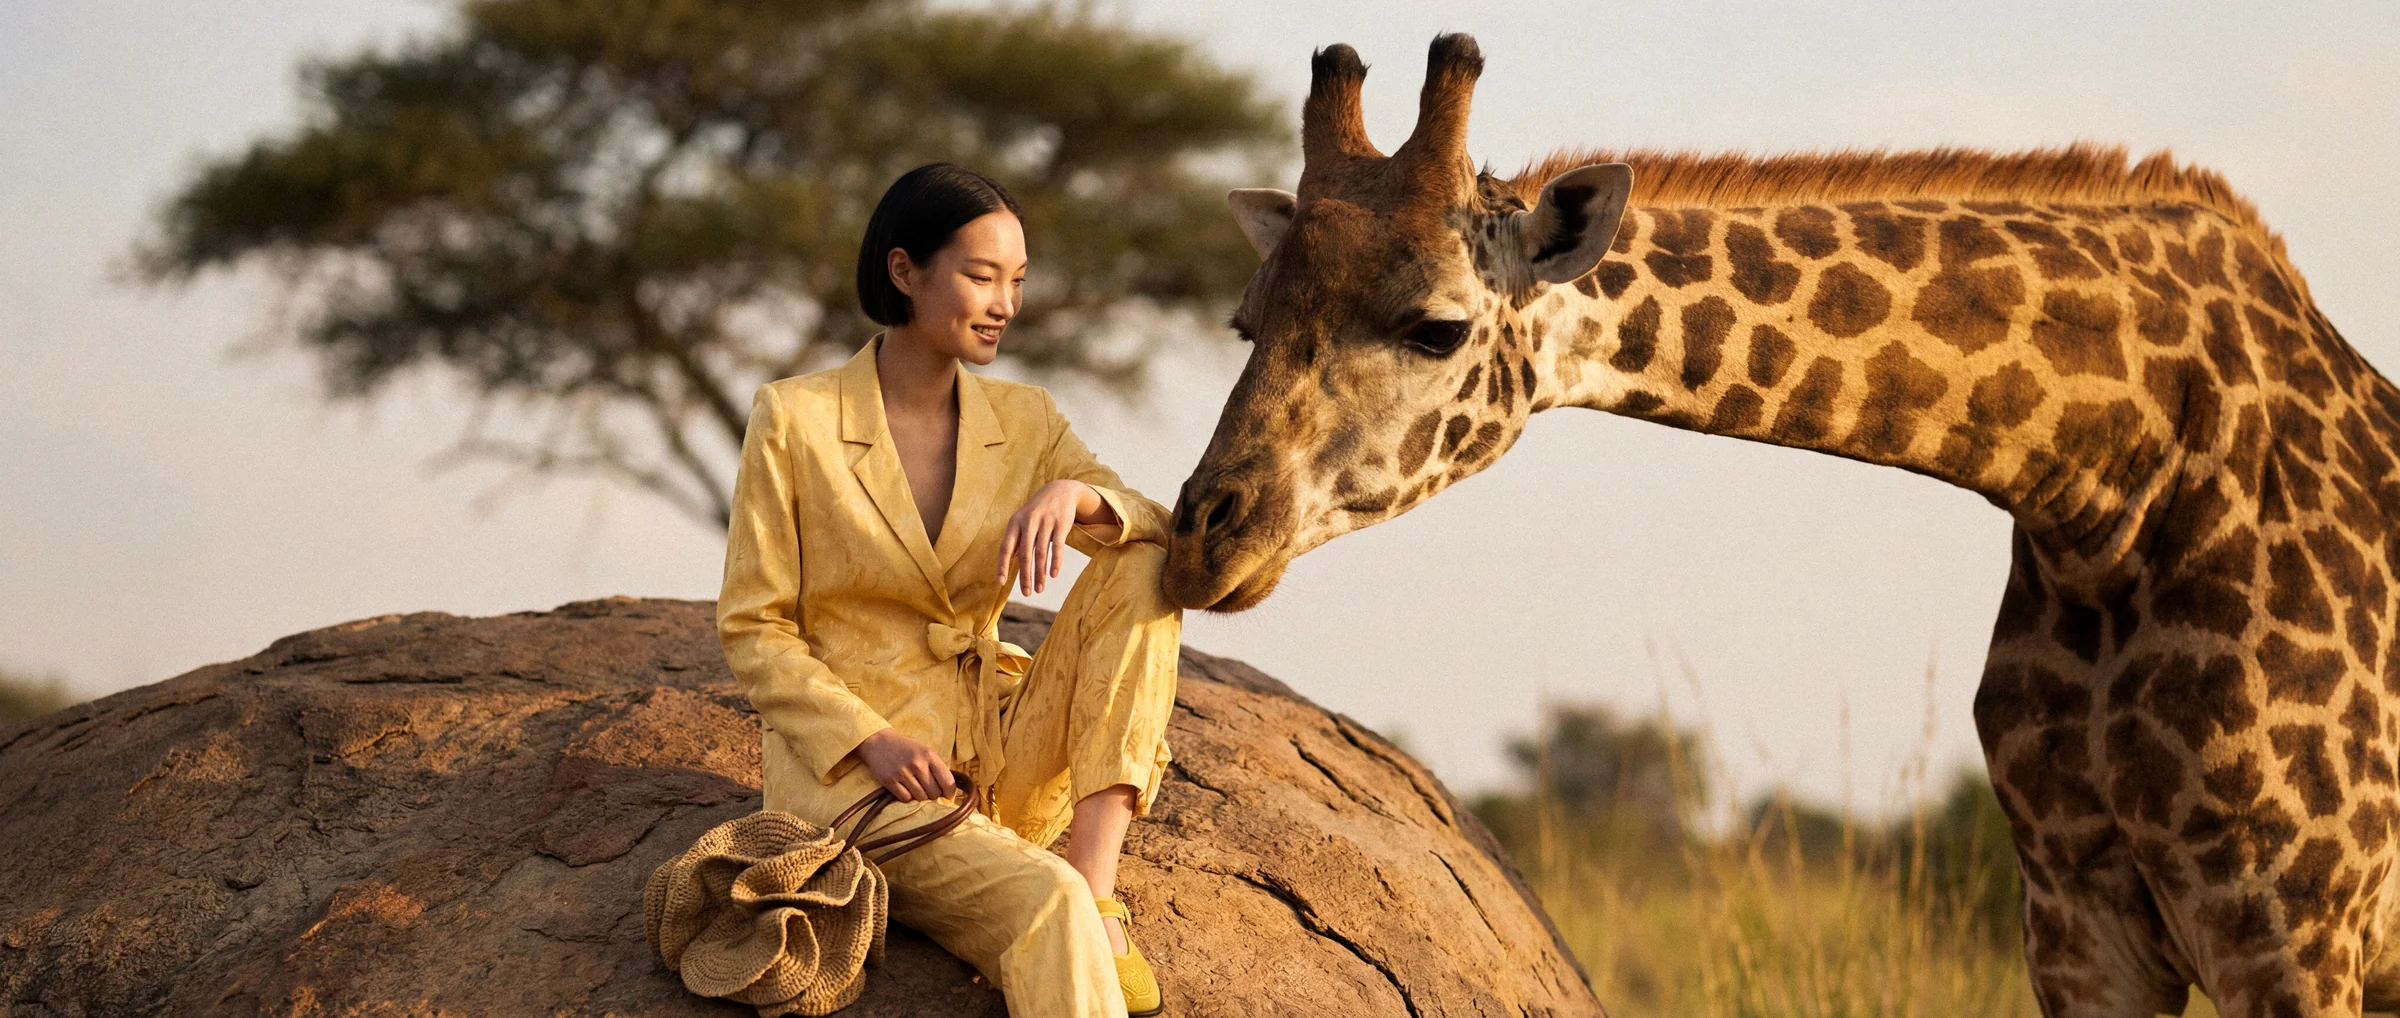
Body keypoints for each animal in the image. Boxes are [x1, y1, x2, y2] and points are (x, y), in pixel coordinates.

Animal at [1162, 32, 2400, 1018]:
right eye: (1244, 322)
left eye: (1436, 327)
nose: (1203, 540)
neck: (2116, 483)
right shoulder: (2075, 914)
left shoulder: (2292, 922)